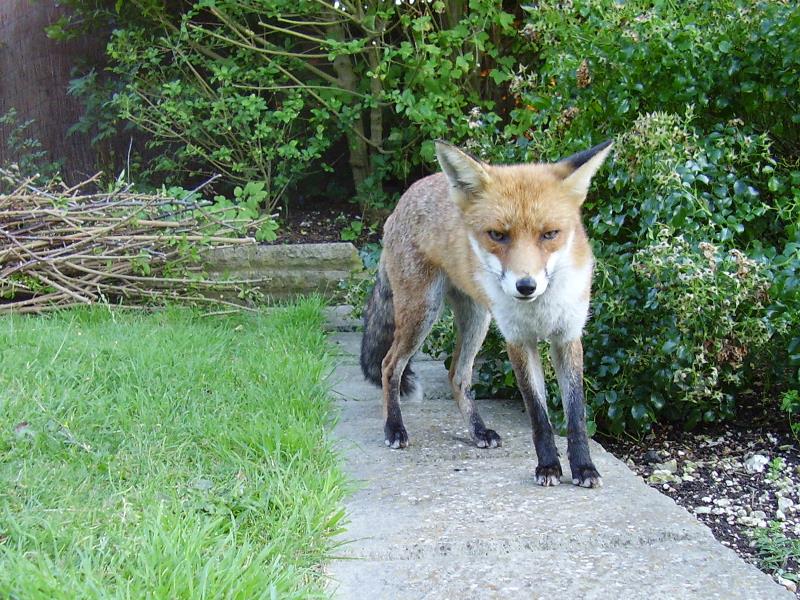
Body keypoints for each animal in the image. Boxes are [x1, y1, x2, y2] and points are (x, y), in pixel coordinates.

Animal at [360, 141, 612, 488]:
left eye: (550, 234)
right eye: (497, 235)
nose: (525, 286)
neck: (540, 308)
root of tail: (408, 193)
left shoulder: (567, 337)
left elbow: (576, 413)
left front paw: (584, 467)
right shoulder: (518, 340)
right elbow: (538, 414)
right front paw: (548, 466)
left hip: (477, 320)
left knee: (457, 375)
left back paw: (478, 431)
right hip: (422, 312)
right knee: (389, 365)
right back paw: (395, 428)